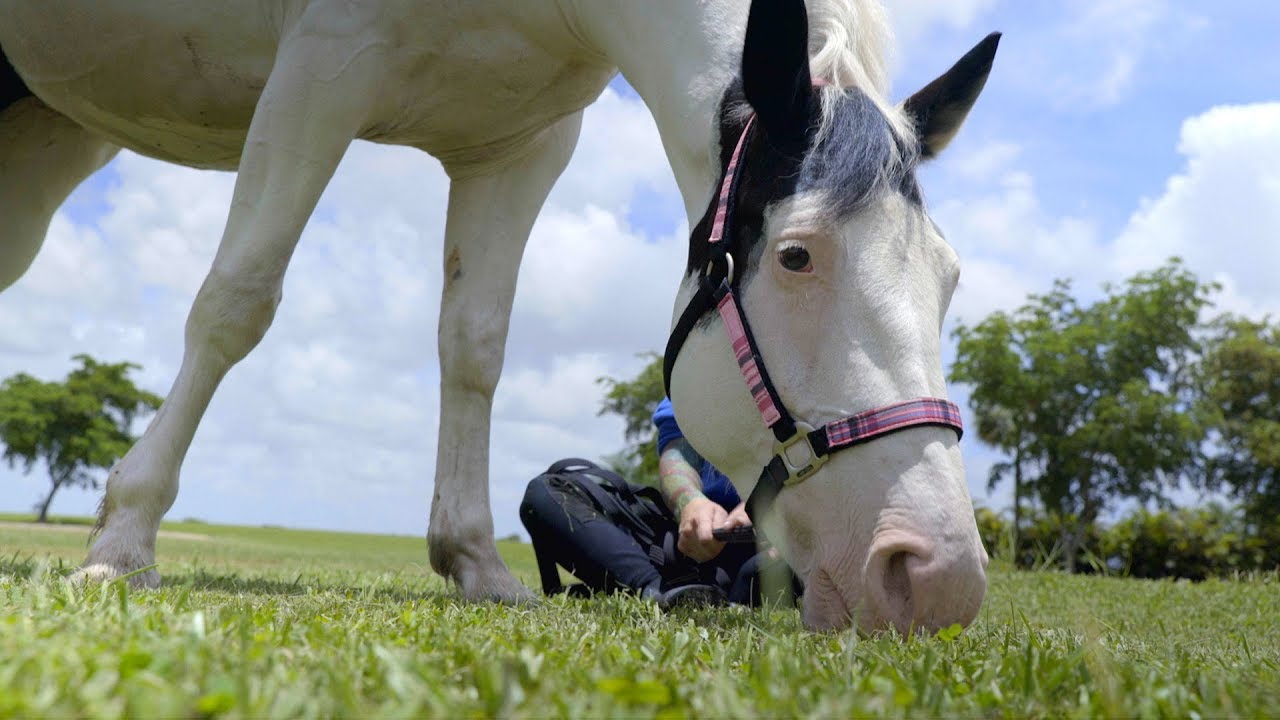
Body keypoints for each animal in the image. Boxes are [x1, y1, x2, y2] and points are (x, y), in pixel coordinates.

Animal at [0, 0, 998, 635]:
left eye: (950, 278)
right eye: (797, 255)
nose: (939, 579)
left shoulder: (520, 146)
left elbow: (475, 344)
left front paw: (474, 564)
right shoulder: (320, 69)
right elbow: (237, 300)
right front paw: (123, 540)